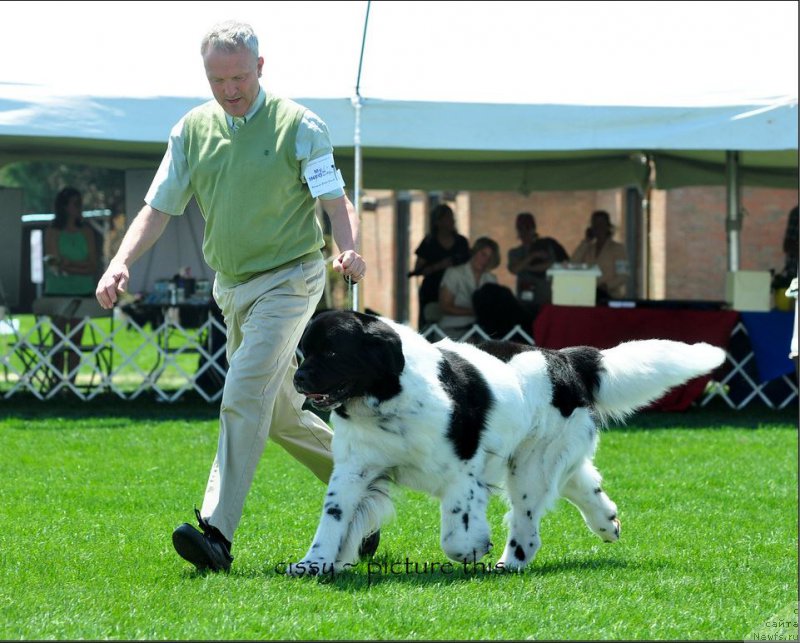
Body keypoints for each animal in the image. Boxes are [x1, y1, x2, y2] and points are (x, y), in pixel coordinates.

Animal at [290, 310, 724, 572]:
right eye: (301, 352)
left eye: (332, 352)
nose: (297, 378)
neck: (388, 395)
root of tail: (564, 359)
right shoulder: (352, 470)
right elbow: (332, 519)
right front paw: (313, 564)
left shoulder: (461, 473)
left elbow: (455, 534)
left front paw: (473, 547)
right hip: (546, 458)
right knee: (582, 481)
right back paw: (607, 522)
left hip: (532, 466)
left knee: (527, 523)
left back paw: (510, 563)